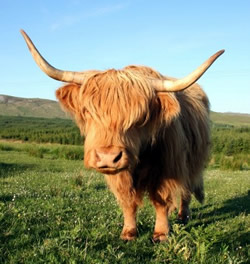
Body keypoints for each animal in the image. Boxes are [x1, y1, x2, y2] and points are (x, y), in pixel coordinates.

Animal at [21, 29, 225, 241]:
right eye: (88, 112)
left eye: (140, 117)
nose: (108, 157)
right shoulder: (120, 175)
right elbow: (127, 201)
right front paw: (128, 232)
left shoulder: (167, 167)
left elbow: (160, 200)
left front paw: (160, 233)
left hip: (193, 161)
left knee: (187, 188)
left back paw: (183, 216)